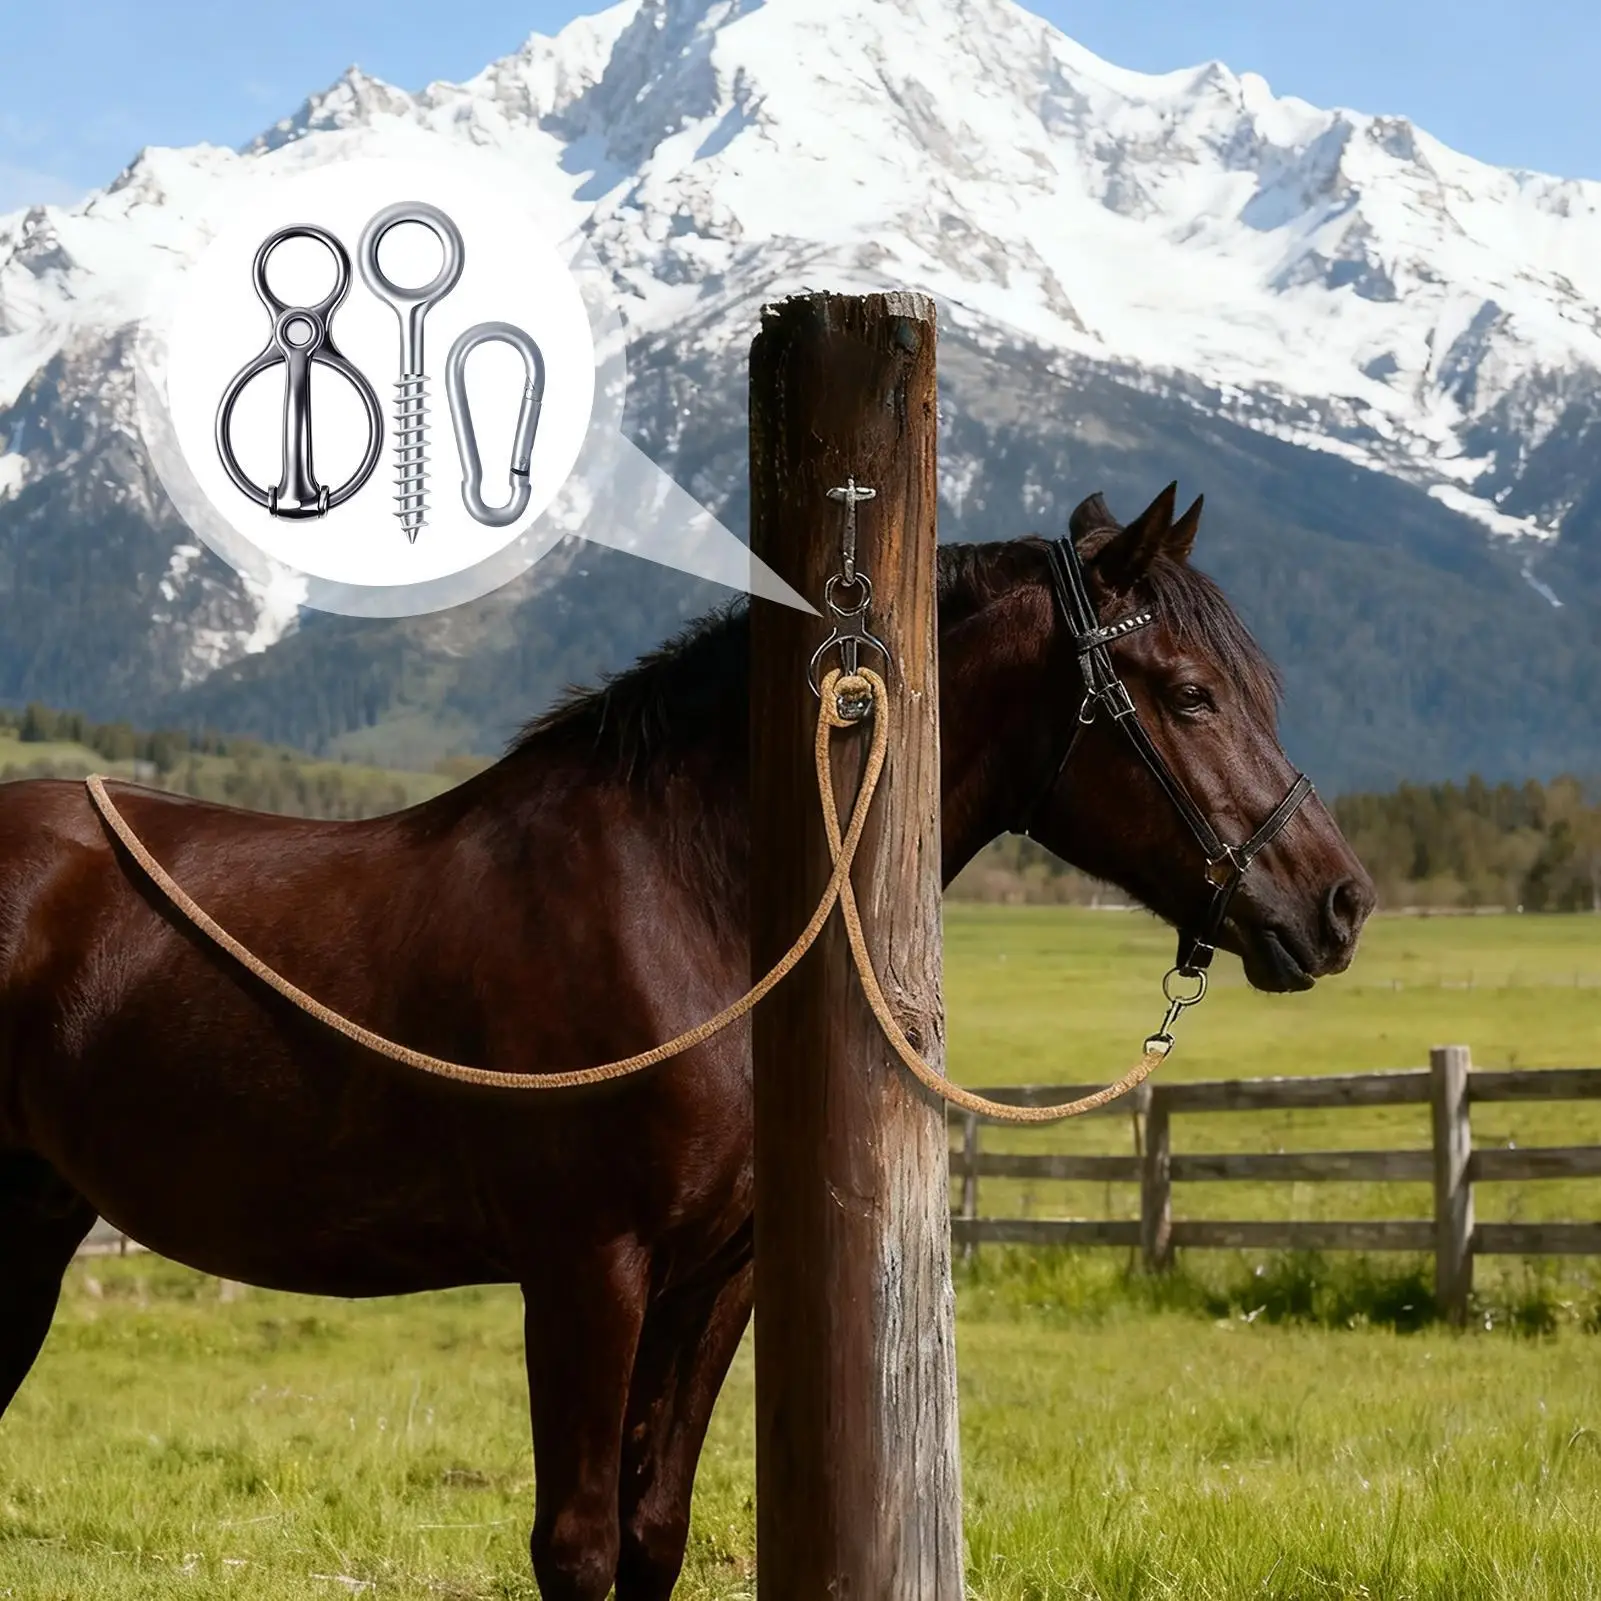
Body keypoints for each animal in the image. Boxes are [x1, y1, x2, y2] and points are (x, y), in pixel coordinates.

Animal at [0, 485, 1374, 1600]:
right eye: (1188, 693)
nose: (1338, 902)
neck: (683, 894)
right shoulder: (585, 1270)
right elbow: (576, 1544)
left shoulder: (716, 1277)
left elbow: (652, 1530)